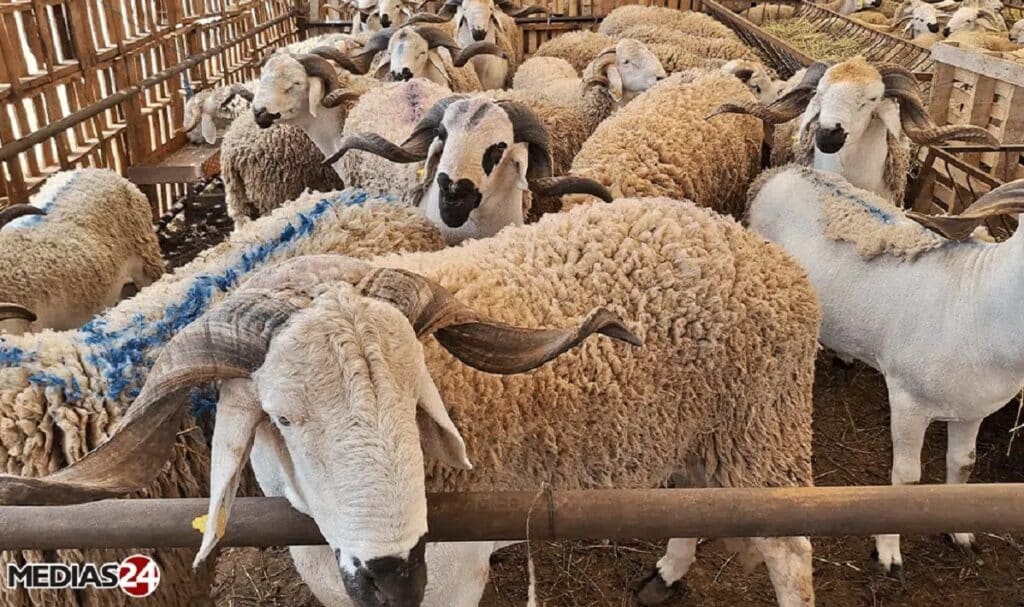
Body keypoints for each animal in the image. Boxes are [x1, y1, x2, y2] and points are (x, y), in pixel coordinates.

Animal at [746, 165, 1024, 576]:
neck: (975, 300)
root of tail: (781, 172)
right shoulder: (908, 400)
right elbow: (906, 480)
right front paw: (888, 553)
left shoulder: (973, 409)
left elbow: (963, 466)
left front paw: (960, 532)